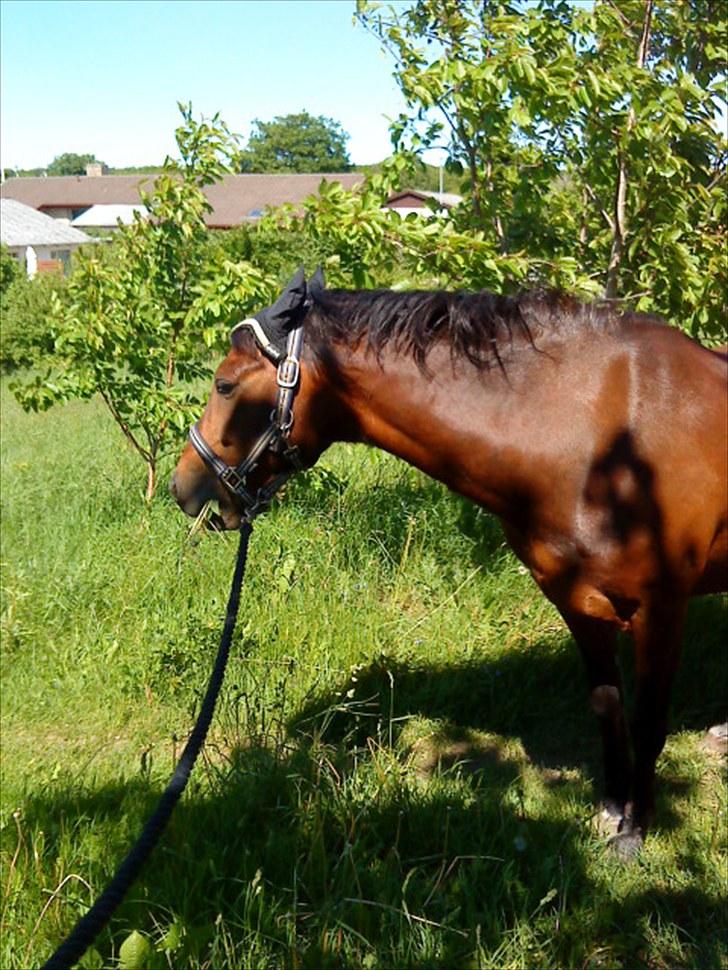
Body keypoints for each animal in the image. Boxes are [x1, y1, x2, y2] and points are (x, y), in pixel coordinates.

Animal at [171, 267, 727, 858]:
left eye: (224, 385)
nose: (183, 486)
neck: (603, 434)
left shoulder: (662, 609)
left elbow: (648, 721)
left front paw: (635, 829)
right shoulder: (579, 604)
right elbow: (607, 705)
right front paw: (611, 808)